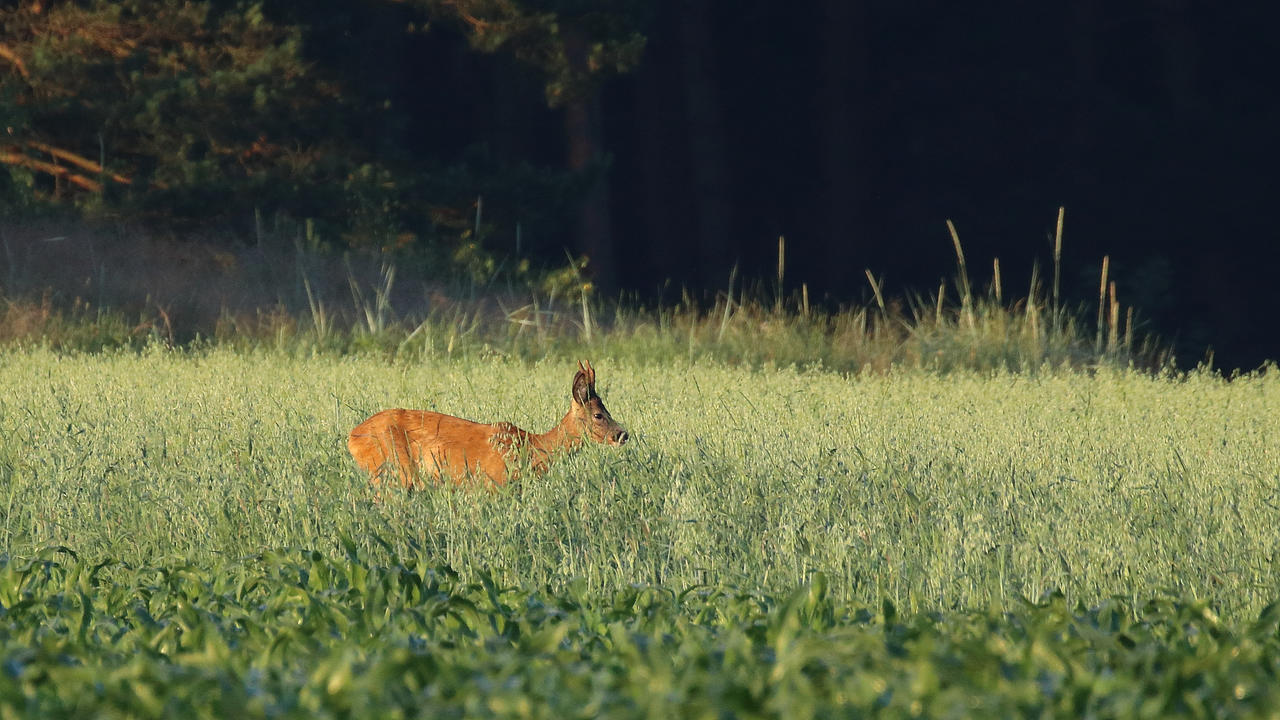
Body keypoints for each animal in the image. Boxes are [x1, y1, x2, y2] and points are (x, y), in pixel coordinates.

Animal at [348, 358, 627, 486]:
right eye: (598, 415)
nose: (622, 434)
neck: (534, 448)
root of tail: (352, 437)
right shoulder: (492, 482)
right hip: (392, 470)